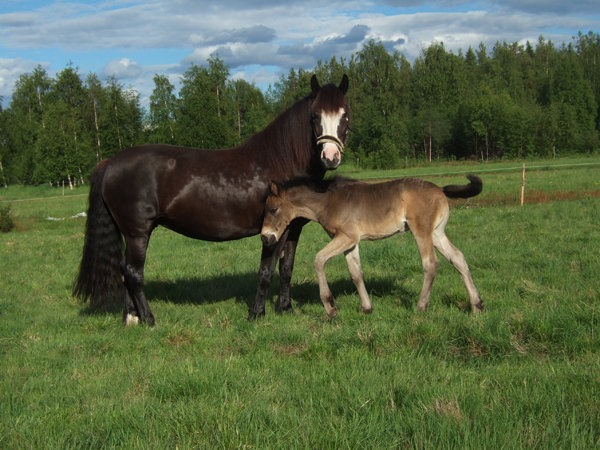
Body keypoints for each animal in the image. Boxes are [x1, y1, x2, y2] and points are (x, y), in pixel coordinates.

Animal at [72, 75, 350, 326]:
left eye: (345, 115)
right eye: (315, 116)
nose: (330, 157)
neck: (281, 162)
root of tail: (110, 163)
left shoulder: (293, 229)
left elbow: (286, 269)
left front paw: (286, 309)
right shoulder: (272, 231)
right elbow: (266, 271)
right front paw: (257, 314)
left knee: (124, 271)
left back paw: (132, 318)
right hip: (137, 232)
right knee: (133, 273)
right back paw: (149, 319)